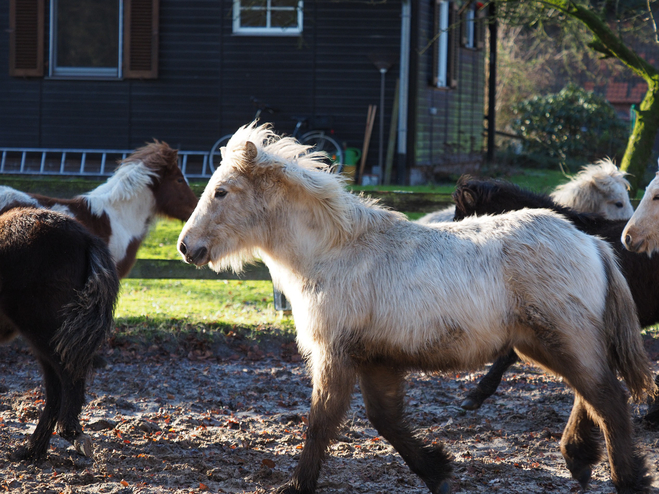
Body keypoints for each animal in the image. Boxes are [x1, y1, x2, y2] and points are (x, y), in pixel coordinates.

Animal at [0, 206, 118, 462]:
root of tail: (85, 237)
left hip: (42, 332)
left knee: (68, 376)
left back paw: (71, 433)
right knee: (56, 388)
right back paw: (32, 451)